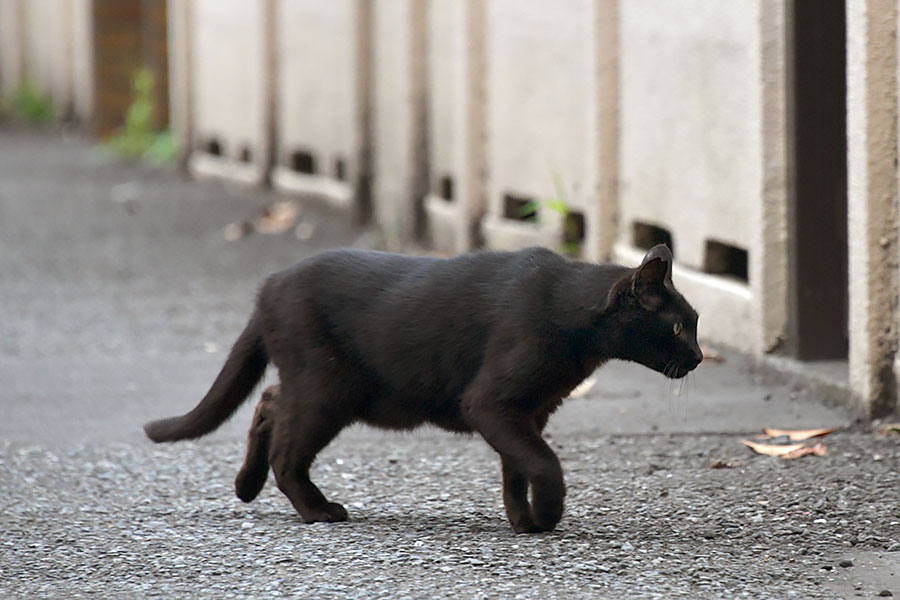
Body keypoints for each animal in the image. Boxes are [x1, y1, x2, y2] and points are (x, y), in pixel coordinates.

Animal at [144, 244, 704, 536]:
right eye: (679, 327)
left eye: (697, 324)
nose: (699, 357)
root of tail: (268, 286)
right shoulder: (492, 403)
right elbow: (544, 464)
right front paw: (546, 515)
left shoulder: (528, 411)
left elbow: (516, 467)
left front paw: (522, 520)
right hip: (327, 389)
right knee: (287, 450)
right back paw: (319, 511)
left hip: (321, 386)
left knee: (269, 403)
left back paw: (246, 484)